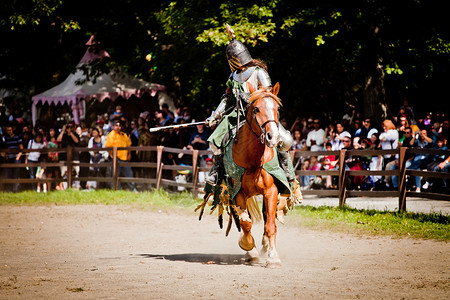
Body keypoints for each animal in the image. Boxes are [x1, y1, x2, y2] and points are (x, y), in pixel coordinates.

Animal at [232, 81, 284, 268]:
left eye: (277, 108)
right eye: (256, 109)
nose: (272, 136)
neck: (253, 160)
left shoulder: (271, 191)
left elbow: (270, 225)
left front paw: (273, 257)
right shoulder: (238, 193)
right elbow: (245, 223)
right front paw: (249, 247)